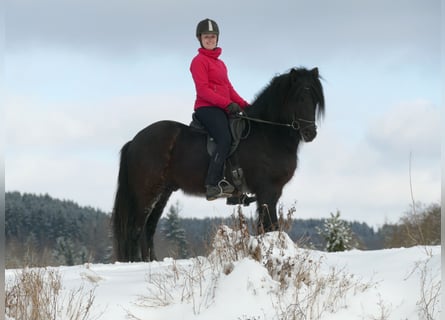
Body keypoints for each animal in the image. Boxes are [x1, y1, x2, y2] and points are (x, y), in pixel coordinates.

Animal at [112, 66, 324, 262]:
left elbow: (267, 228)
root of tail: (135, 141)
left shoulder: (272, 192)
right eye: (298, 98)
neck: (267, 133)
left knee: (148, 229)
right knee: (135, 230)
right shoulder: (267, 191)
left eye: (314, 99)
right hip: (146, 193)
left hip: (162, 193)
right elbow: (270, 227)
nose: (310, 133)